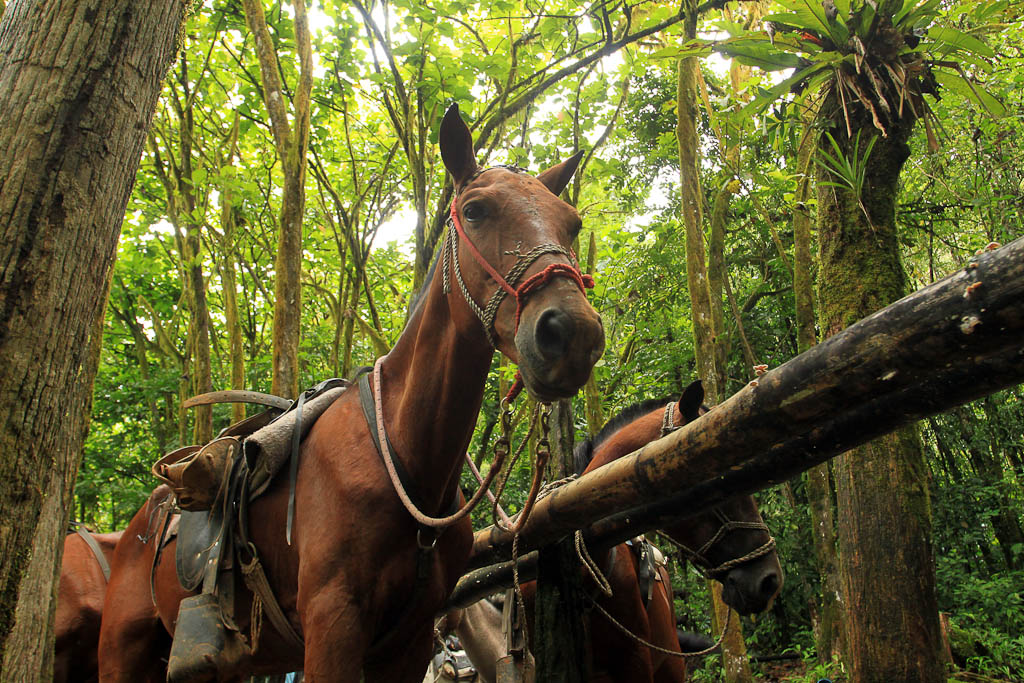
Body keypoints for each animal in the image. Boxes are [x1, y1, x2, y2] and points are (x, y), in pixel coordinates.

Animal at [97, 104, 605, 682]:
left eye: (572, 224)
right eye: (475, 211)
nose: (571, 333)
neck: (403, 457)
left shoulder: (410, 640)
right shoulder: (331, 624)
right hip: (121, 652)